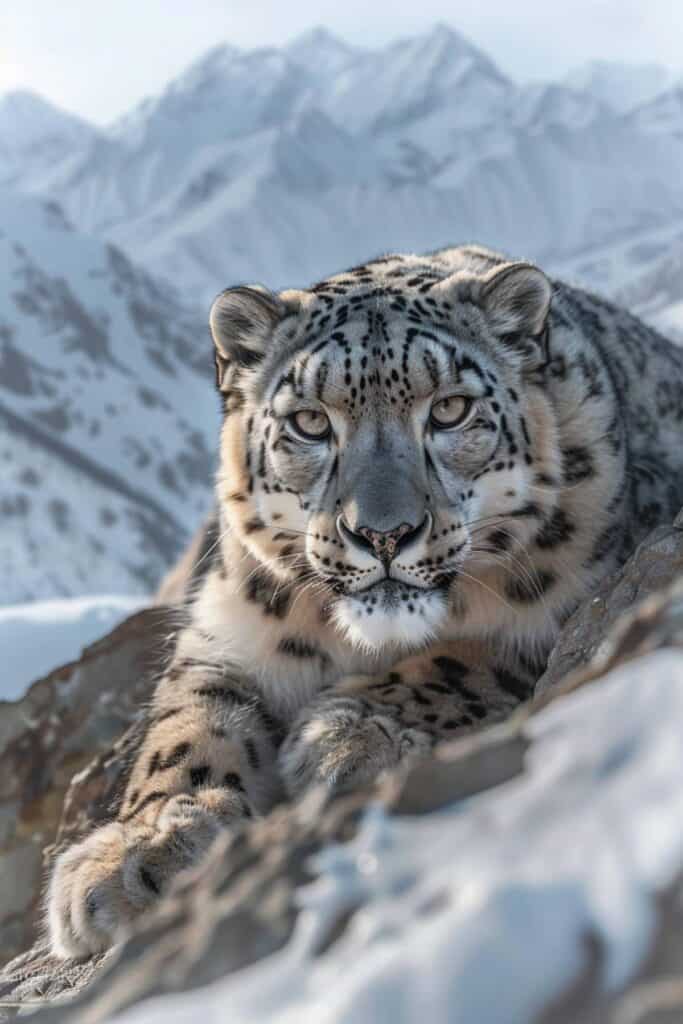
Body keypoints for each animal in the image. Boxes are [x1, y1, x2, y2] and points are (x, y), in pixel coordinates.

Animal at [46, 243, 683, 954]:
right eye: (309, 422)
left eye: (450, 409)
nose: (384, 532)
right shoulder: (225, 634)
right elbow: (186, 728)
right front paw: (136, 854)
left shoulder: (568, 605)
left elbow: (464, 657)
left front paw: (343, 738)